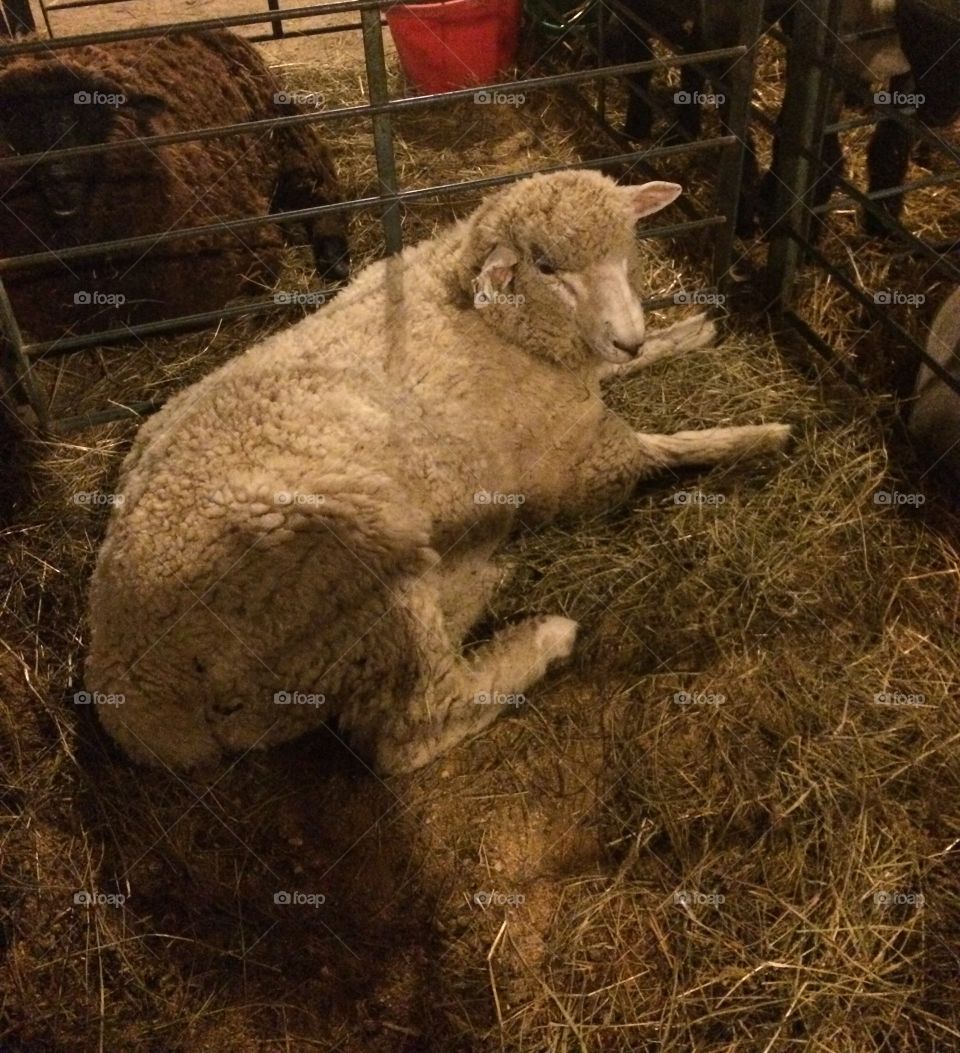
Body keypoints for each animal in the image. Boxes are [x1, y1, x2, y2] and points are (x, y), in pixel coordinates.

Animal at [0, 29, 348, 342]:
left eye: (94, 112)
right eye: (18, 118)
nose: (60, 183)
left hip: (289, 137)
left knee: (322, 192)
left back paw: (336, 261)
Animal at [84, 169, 791, 776]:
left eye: (626, 250)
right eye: (546, 267)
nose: (627, 337)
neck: (490, 317)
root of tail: (129, 681)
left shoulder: (580, 386)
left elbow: (630, 373)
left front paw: (691, 332)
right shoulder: (570, 462)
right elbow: (666, 449)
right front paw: (760, 434)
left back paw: (480, 578)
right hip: (359, 558)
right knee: (414, 727)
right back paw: (541, 636)